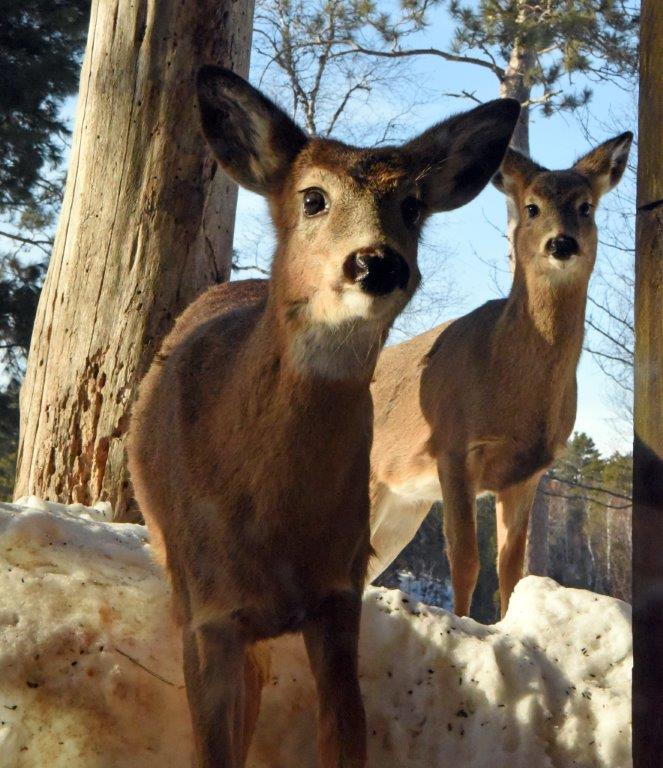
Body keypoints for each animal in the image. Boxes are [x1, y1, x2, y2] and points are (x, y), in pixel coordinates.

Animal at [127, 64, 520, 768]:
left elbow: (345, 736)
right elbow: (214, 742)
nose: (377, 261)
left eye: (412, 205)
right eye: (313, 198)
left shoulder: (340, 597)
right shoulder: (208, 611)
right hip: (172, 563)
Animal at [367, 132, 632, 620]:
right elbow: (466, 560)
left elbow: (511, 569)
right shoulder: (453, 448)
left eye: (586, 207)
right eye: (531, 207)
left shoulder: (527, 473)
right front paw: (461, 624)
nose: (562, 243)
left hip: (403, 504)